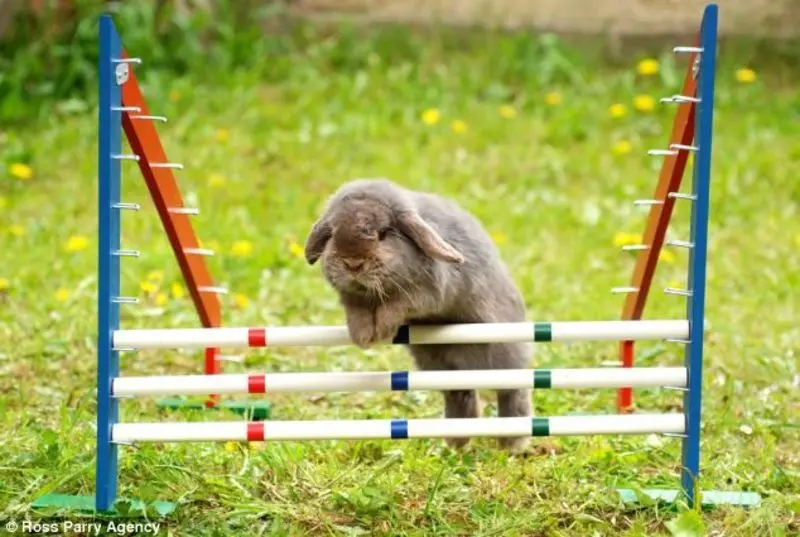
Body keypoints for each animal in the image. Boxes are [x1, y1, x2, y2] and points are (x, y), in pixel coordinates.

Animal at [303, 178, 531, 452]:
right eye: (334, 234)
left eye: (383, 233)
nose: (353, 264)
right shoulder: (352, 298)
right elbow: (356, 311)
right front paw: (363, 336)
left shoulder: (424, 293)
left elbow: (396, 305)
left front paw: (381, 330)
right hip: (440, 367)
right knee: (460, 394)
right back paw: (456, 442)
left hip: (502, 354)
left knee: (512, 392)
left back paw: (512, 444)